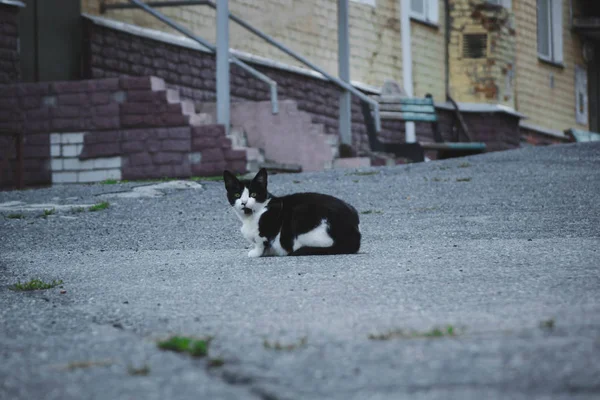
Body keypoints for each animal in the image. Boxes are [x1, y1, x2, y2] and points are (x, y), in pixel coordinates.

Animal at [221, 168, 358, 256]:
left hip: (300, 213)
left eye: (253, 194)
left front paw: (256, 252)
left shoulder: (269, 227)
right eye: (237, 195)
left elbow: (261, 241)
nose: (244, 202)